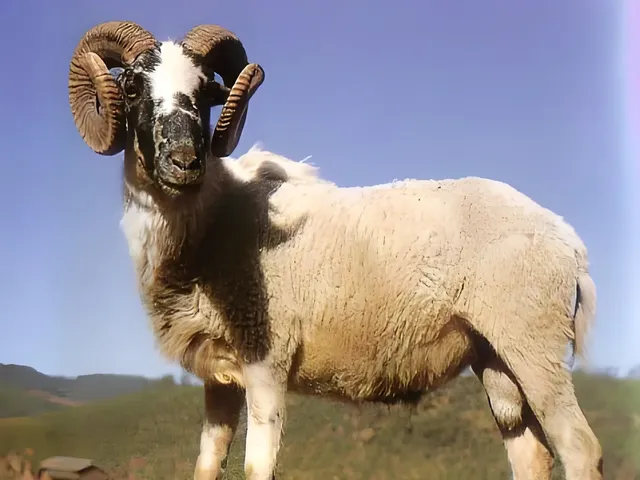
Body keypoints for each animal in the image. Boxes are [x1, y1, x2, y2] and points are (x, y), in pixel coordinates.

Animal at [67, 20, 603, 480]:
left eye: (205, 94)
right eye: (132, 87)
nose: (185, 162)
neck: (212, 223)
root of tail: (568, 239)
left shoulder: (267, 363)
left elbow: (257, 468)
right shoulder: (220, 380)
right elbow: (206, 466)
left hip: (534, 346)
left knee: (580, 447)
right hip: (494, 358)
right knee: (531, 454)